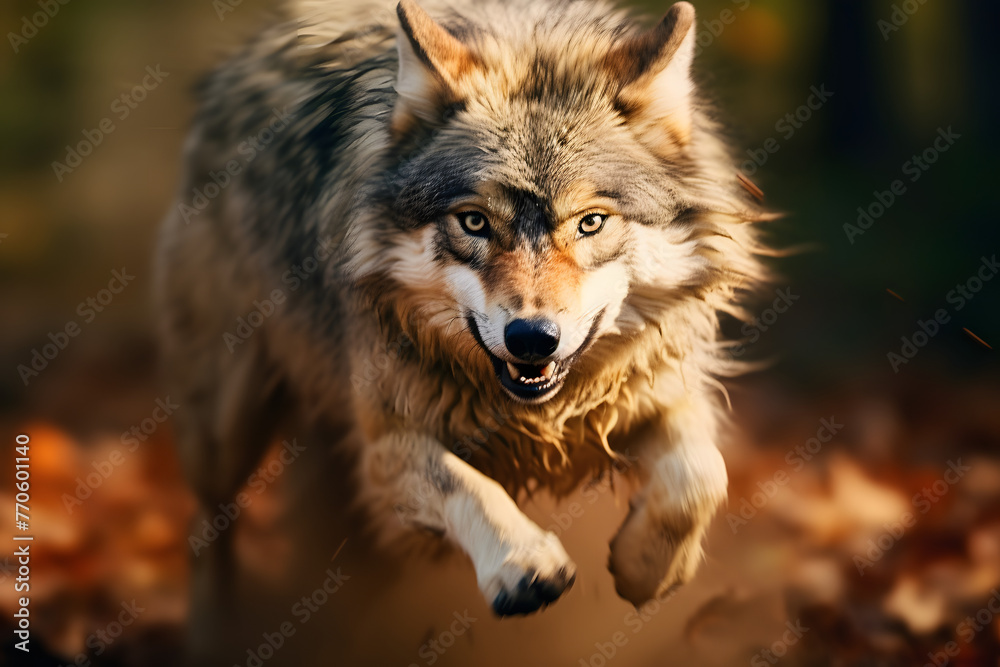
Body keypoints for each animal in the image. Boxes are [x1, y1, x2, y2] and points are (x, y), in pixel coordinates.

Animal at [155, 0, 771, 620]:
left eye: (591, 222)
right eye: (474, 221)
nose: (531, 337)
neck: (534, 418)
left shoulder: (653, 388)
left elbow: (701, 476)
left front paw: (646, 569)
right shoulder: (384, 442)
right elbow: (466, 484)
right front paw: (524, 562)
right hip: (227, 431)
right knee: (207, 525)